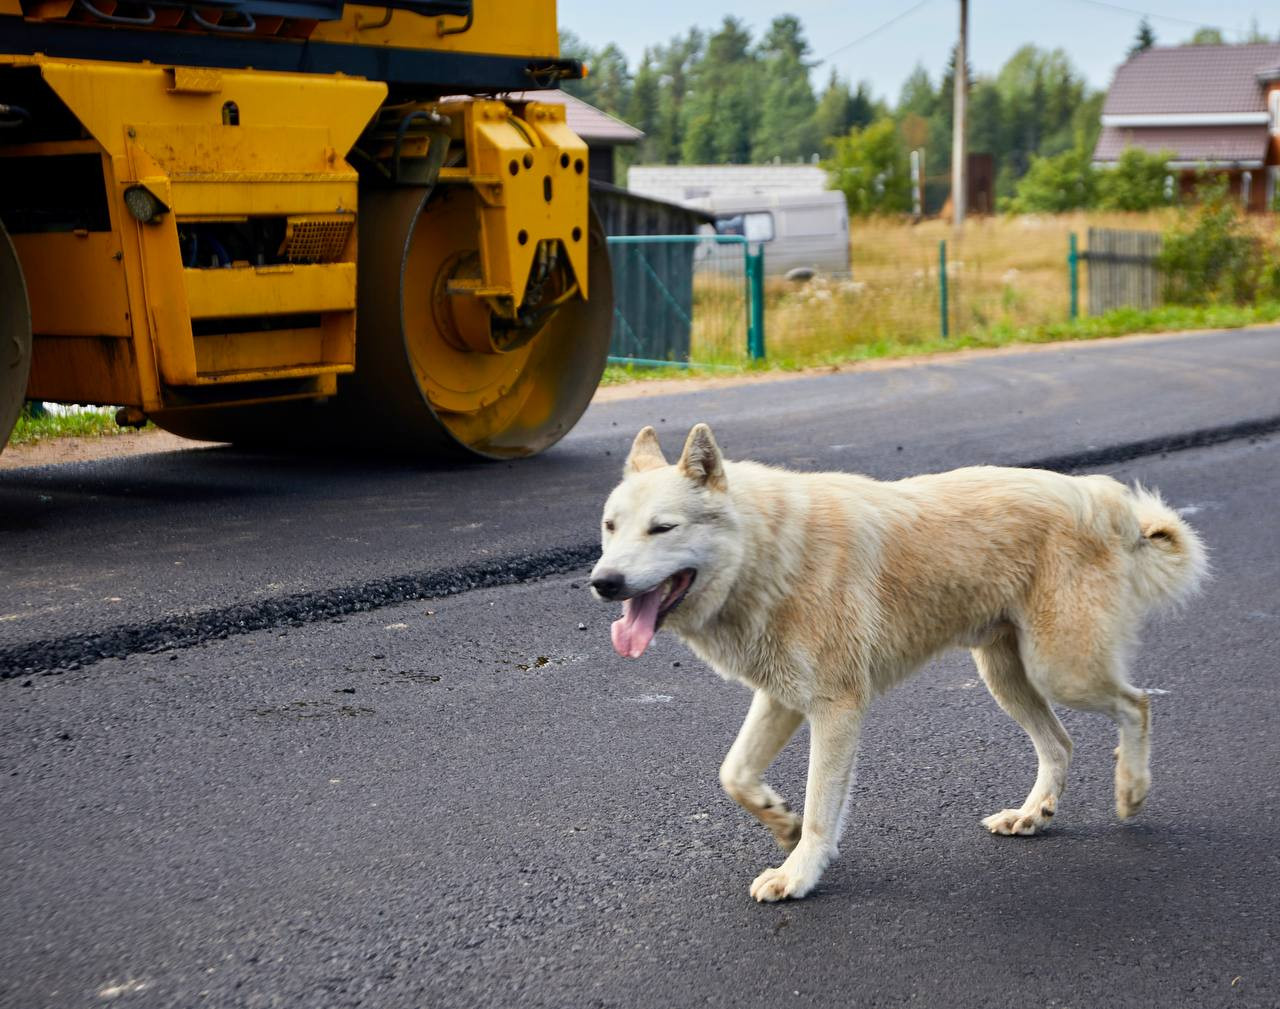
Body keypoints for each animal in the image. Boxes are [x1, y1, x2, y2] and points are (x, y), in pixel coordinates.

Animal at [586, 422, 1203, 901]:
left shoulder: (835, 708)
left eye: (663, 528)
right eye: (610, 527)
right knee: (1061, 743)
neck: (768, 552)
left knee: (1137, 704)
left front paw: (798, 874)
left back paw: (1131, 791)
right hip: (1007, 676)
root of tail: (1103, 498)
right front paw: (781, 824)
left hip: (1063, 670)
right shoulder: (782, 699)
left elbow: (820, 810)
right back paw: (1033, 814)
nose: (603, 583)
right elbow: (734, 774)